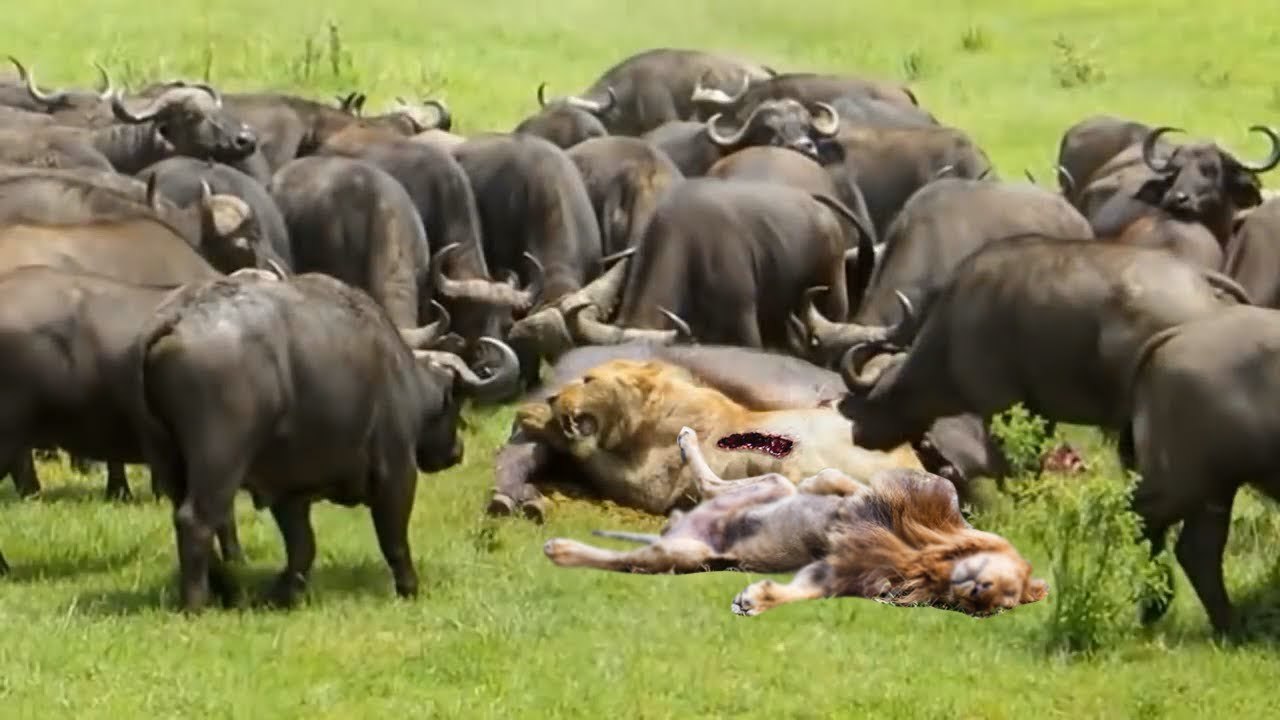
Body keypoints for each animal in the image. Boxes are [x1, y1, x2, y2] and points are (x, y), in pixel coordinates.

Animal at [135, 272, 520, 611]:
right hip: (220, 459)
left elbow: (302, 545)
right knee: (196, 518)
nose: (455, 451)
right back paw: (196, 603)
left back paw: (225, 588)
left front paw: (285, 593)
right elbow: (394, 538)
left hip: (170, 461)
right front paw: (409, 587)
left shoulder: (289, 490)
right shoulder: (396, 471)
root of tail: (177, 321)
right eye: (454, 402)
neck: (399, 374)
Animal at [544, 426, 1049, 616]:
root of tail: (682, 529)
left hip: (685, 555)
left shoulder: (841, 571)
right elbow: (839, 483)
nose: (978, 596)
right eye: (1004, 590)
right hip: (770, 487)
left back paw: (562, 550)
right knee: (714, 485)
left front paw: (757, 600)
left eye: (1000, 606)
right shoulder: (886, 502)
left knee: (624, 560)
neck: (928, 562)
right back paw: (686, 440)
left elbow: (804, 590)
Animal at [836, 237, 1251, 455]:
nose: (857, 435)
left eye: (876, 399)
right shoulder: (1041, 413)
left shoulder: (1000, 407)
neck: (951, 330)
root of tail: (1196, 280)